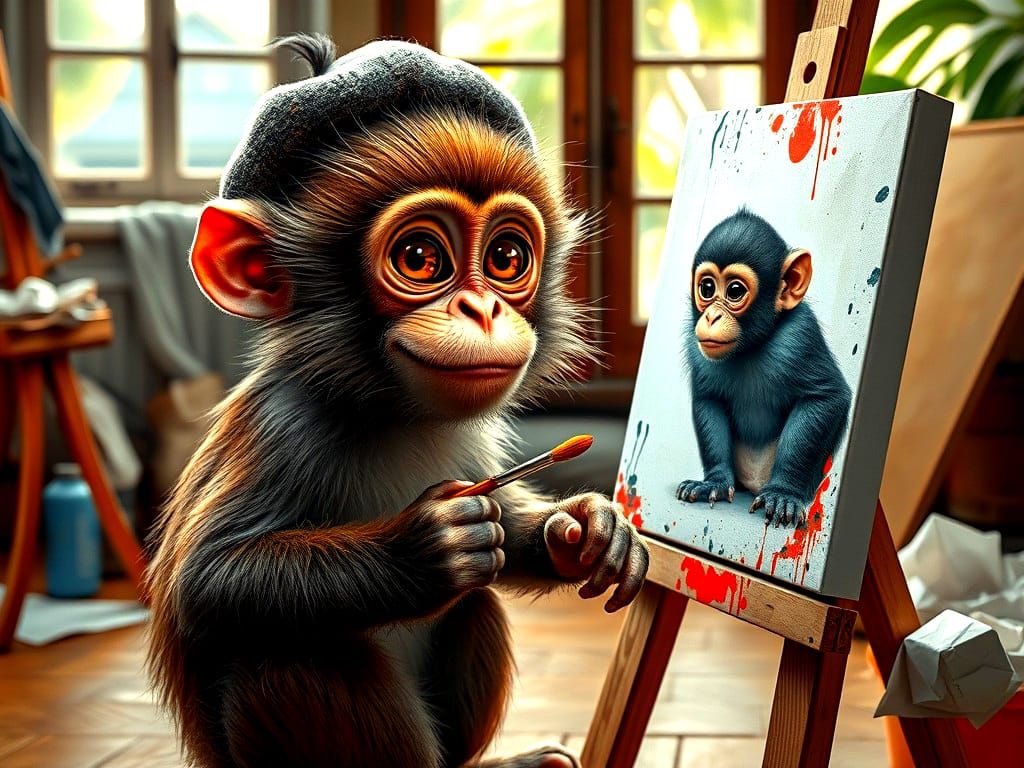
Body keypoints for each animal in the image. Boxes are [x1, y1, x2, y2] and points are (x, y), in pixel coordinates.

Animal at [145, 36, 649, 768]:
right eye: (419, 257)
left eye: (506, 257)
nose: (483, 310)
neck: (392, 411)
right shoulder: (281, 425)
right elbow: (206, 582)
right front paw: (421, 549)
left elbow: (506, 520)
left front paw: (587, 528)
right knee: (292, 654)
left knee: (475, 604)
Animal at [675, 209, 852, 528]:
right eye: (707, 288)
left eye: (734, 291)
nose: (712, 316)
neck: (751, 346)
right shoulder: (698, 351)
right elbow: (709, 400)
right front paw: (713, 482)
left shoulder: (800, 336)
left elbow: (825, 398)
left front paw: (783, 493)